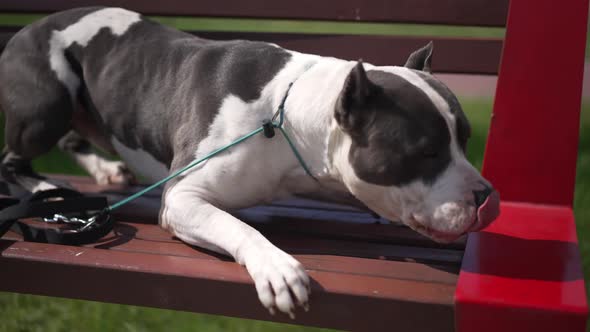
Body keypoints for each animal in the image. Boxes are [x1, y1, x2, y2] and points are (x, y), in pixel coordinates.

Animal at [0, 7, 502, 320]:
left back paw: (103, 171)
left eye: (464, 141)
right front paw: (277, 268)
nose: (487, 198)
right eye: (427, 151)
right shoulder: (182, 197)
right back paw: (46, 190)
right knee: (11, 160)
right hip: (46, 103)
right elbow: (238, 226)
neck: (288, 113)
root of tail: (24, 29)